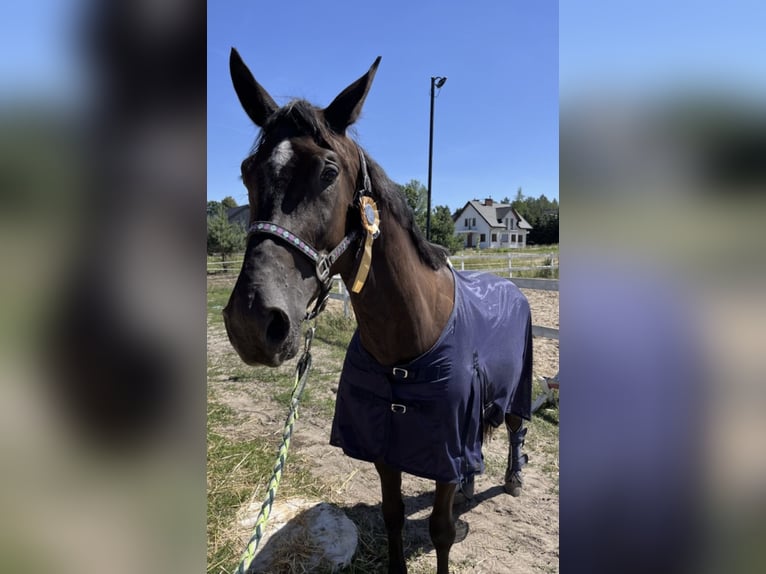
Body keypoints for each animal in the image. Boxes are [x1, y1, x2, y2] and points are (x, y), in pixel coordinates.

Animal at [223, 49, 533, 574]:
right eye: (247, 171)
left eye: (329, 172)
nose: (252, 321)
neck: (407, 343)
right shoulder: (386, 449)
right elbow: (392, 515)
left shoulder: (441, 450)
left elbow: (441, 530)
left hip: (516, 391)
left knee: (514, 430)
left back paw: (512, 479)